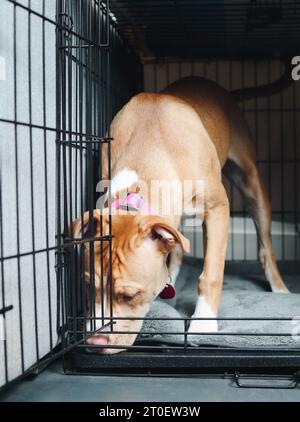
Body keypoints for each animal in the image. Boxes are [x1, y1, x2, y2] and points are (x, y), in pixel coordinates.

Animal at [72, 76, 288, 352]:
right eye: (88, 286)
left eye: (130, 295)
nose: (95, 341)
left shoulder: (218, 209)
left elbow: (210, 274)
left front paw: (203, 324)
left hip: (251, 182)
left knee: (265, 246)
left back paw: (279, 288)